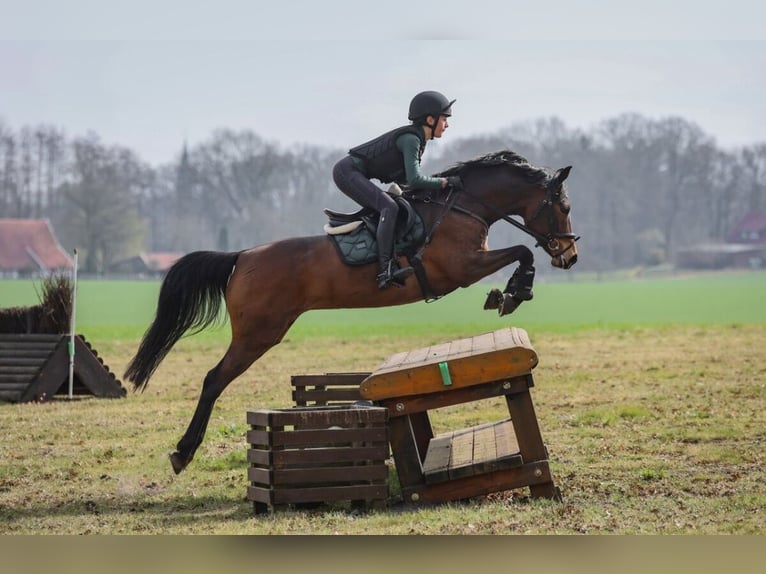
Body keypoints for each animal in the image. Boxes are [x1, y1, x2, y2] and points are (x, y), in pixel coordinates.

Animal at [125, 150, 579, 474]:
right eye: (564, 207)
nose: (569, 256)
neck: (462, 205)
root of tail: (241, 256)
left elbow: (519, 253)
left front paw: (508, 293)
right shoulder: (462, 268)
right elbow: (521, 251)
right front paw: (514, 293)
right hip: (257, 334)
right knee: (214, 379)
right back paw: (183, 452)